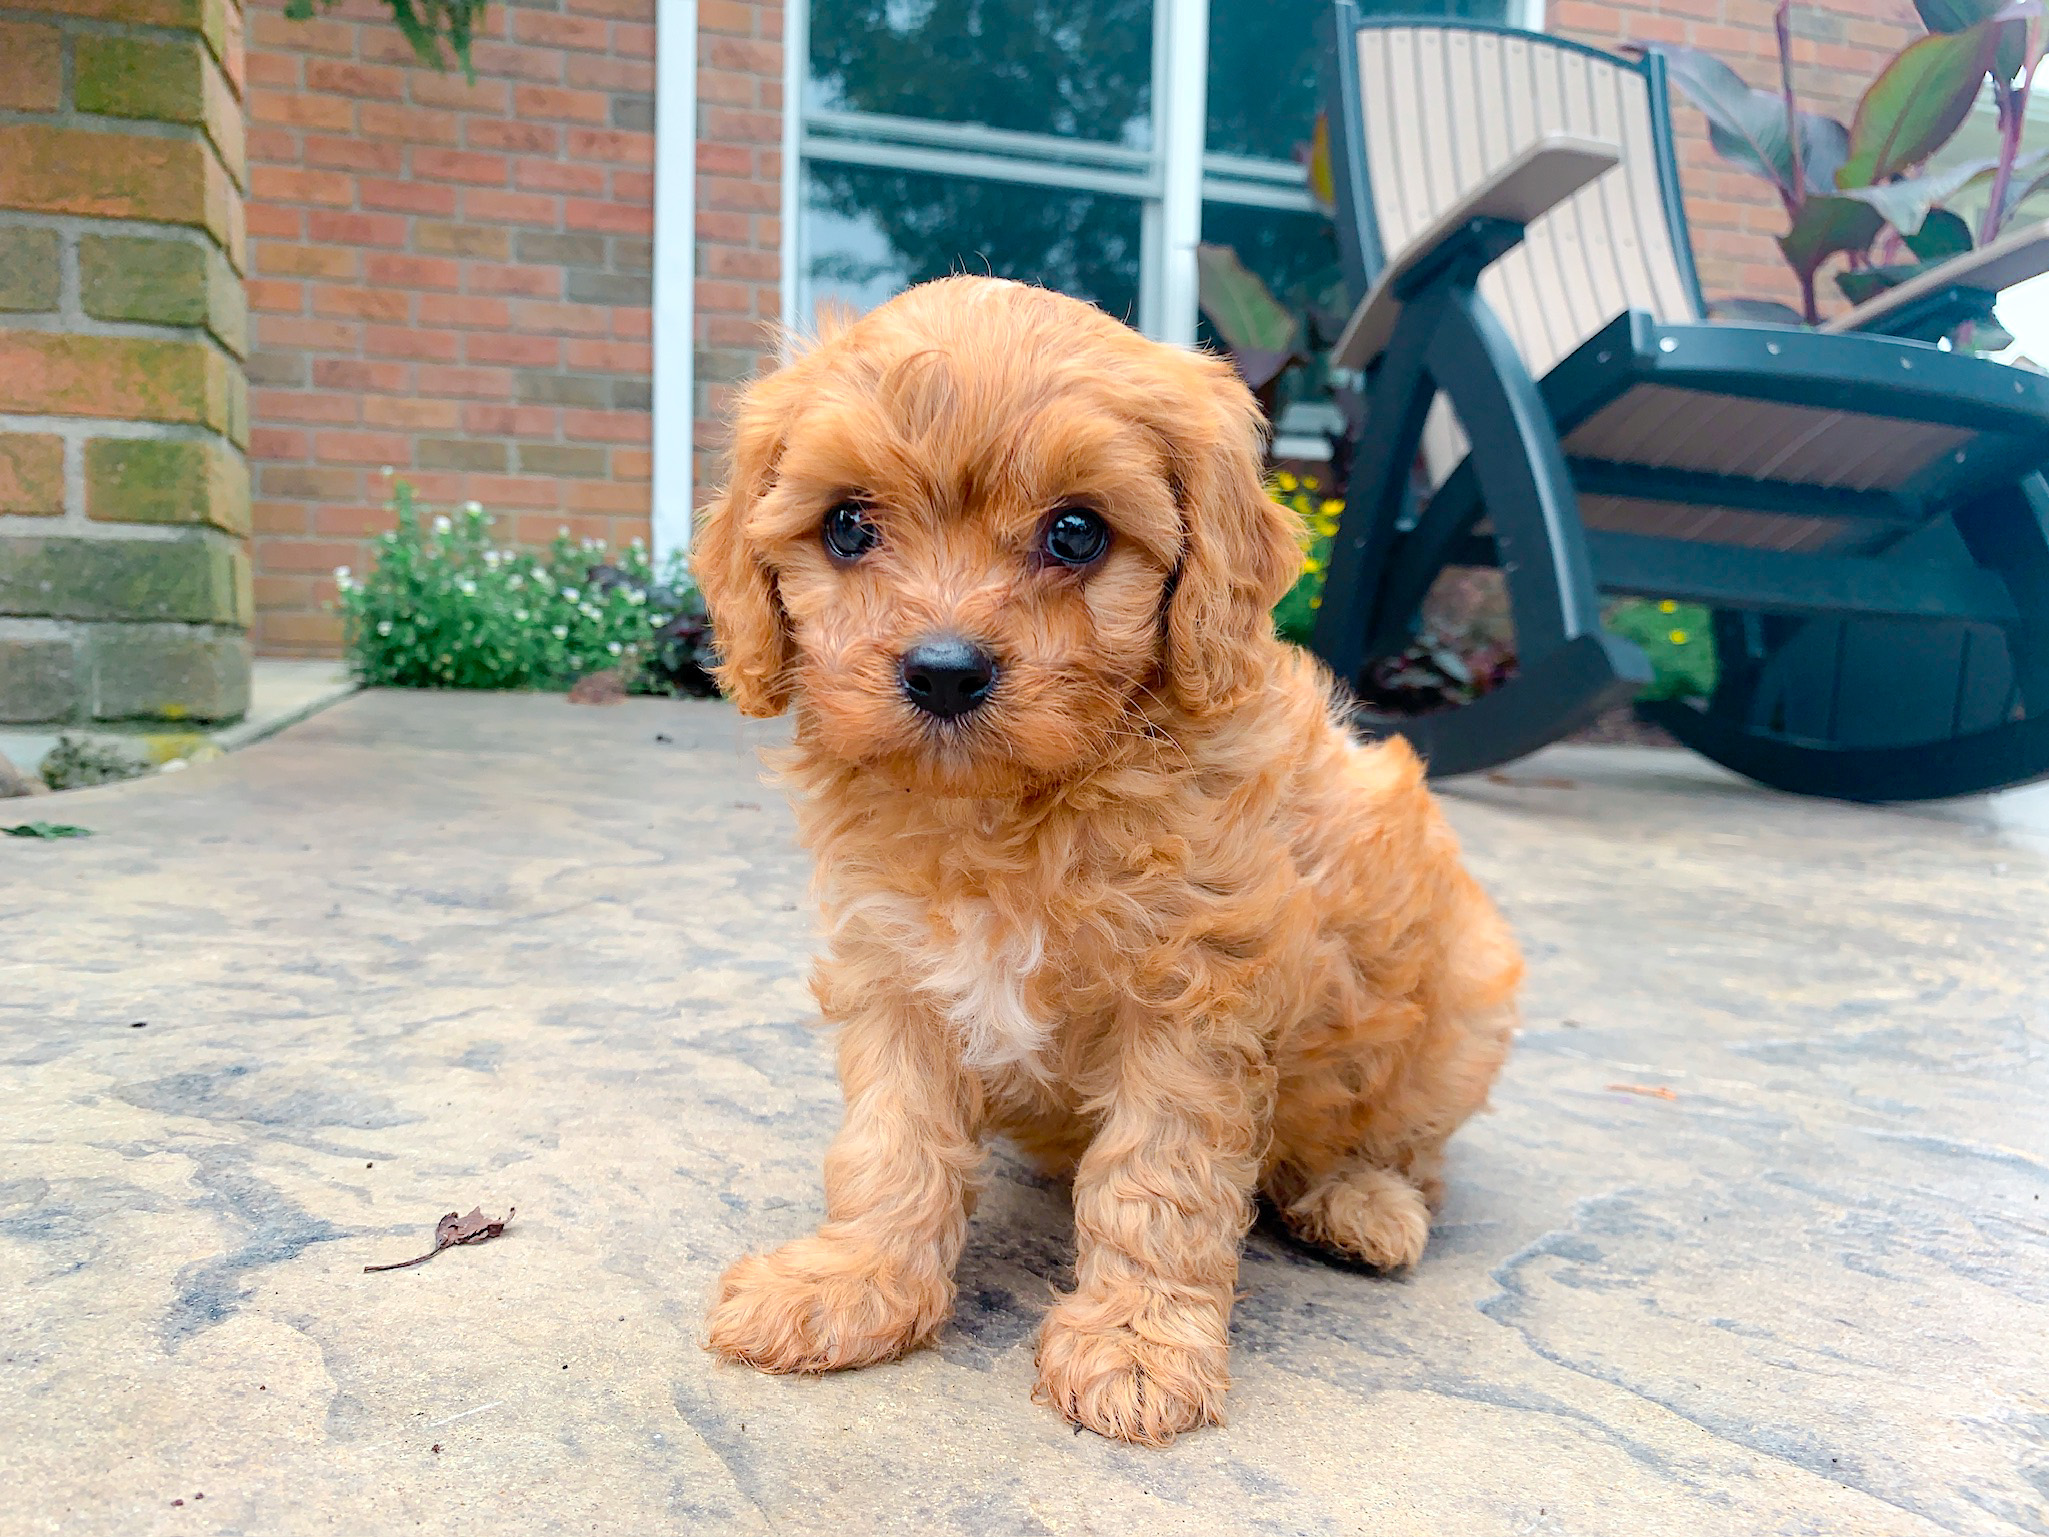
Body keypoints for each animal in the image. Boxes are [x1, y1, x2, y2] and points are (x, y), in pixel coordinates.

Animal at [700, 274, 1524, 1442]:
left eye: (1078, 531)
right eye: (848, 525)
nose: (943, 672)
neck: (1008, 814)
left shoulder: (1192, 997)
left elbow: (1158, 1179)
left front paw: (1136, 1346)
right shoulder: (895, 974)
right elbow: (890, 1146)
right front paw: (852, 1284)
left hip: (1463, 997)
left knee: (1404, 1144)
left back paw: (1362, 1202)